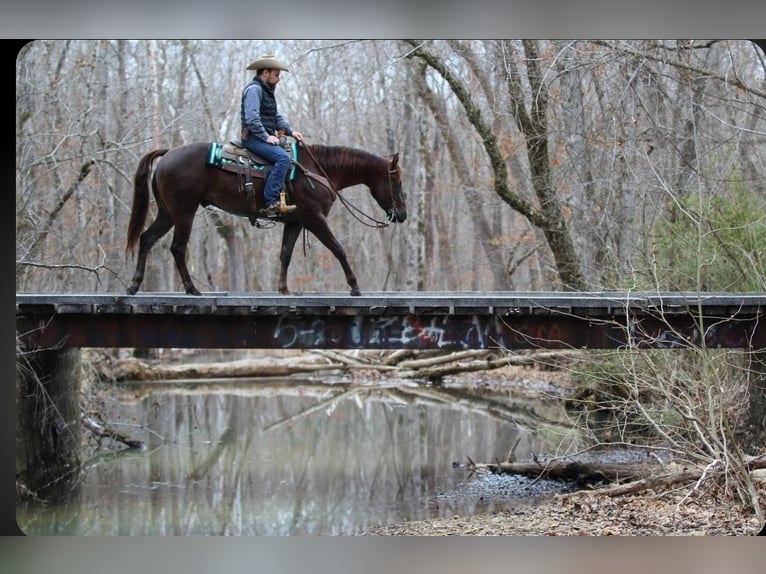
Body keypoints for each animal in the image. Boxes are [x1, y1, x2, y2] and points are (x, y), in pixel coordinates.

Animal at [125, 141, 407, 296]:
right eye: (396, 181)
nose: (402, 215)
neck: (317, 170)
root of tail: (167, 154)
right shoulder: (314, 219)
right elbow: (338, 249)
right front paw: (355, 286)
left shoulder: (295, 222)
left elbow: (285, 254)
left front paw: (284, 289)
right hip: (184, 212)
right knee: (177, 247)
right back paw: (192, 289)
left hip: (167, 213)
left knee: (146, 238)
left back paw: (134, 285)